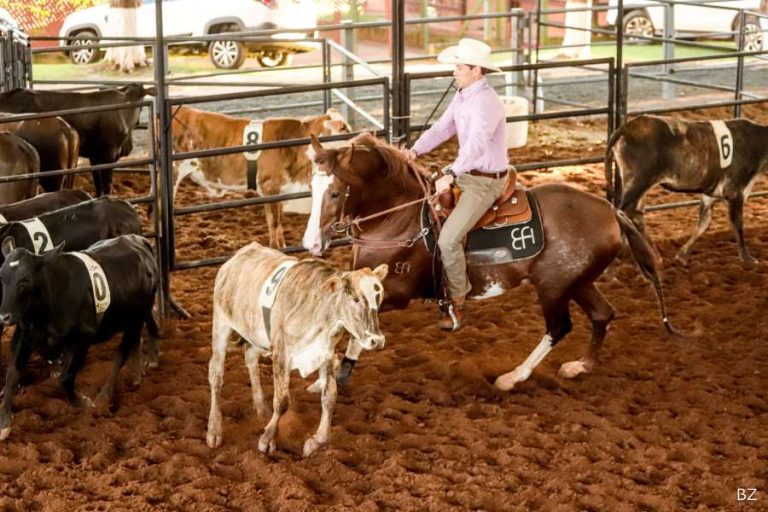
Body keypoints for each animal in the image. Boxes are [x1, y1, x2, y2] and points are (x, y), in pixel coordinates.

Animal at [302, 133, 683, 391]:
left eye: (334, 192)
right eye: (311, 188)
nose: (311, 243)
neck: (400, 217)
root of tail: (610, 211)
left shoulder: (395, 293)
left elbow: (351, 327)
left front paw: (334, 375)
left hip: (554, 287)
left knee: (558, 327)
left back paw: (512, 377)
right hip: (577, 282)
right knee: (602, 314)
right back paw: (581, 366)